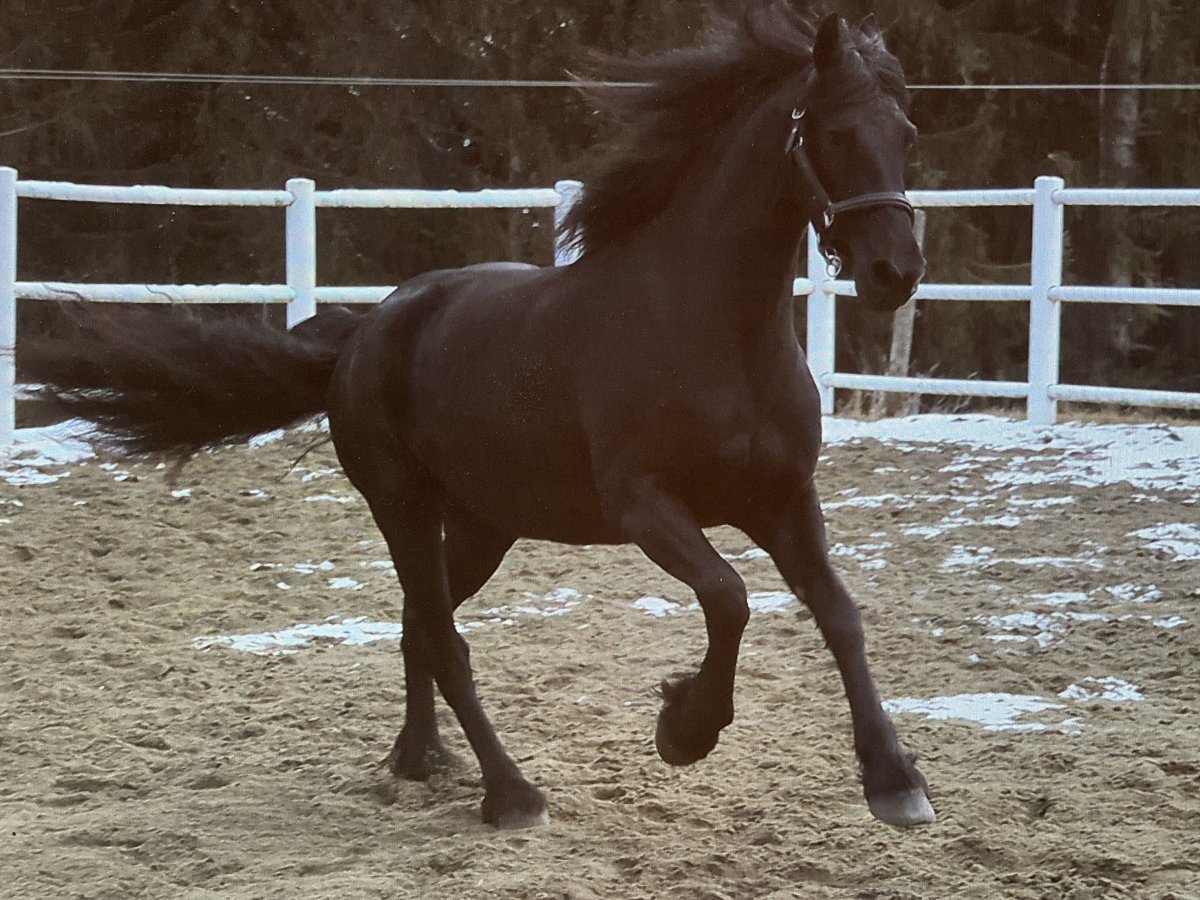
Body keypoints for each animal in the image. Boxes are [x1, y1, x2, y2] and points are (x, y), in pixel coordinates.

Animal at [23, 3, 931, 830]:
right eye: (835, 131)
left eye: (907, 132)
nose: (896, 273)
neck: (713, 331)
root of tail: (365, 334)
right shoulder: (645, 506)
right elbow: (728, 596)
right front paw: (684, 727)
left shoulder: (782, 500)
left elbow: (841, 616)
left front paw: (895, 784)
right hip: (402, 507)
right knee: (442, 639)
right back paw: (510, 795)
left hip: (483, 524)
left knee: (417, 625)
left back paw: (422, 758)